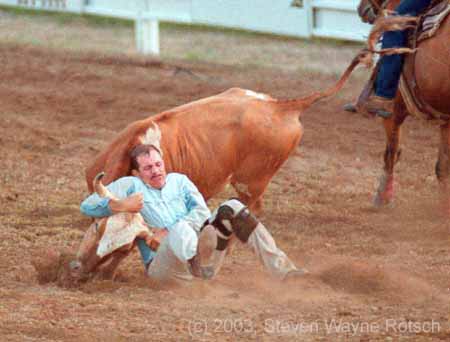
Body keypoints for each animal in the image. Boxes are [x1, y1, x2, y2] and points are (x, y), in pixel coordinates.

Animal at [356, 0, 448, 214]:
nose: (361, 9)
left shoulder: (395, 109)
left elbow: (391, 152)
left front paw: (382, 197)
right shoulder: (446, 119)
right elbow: (442, 167)